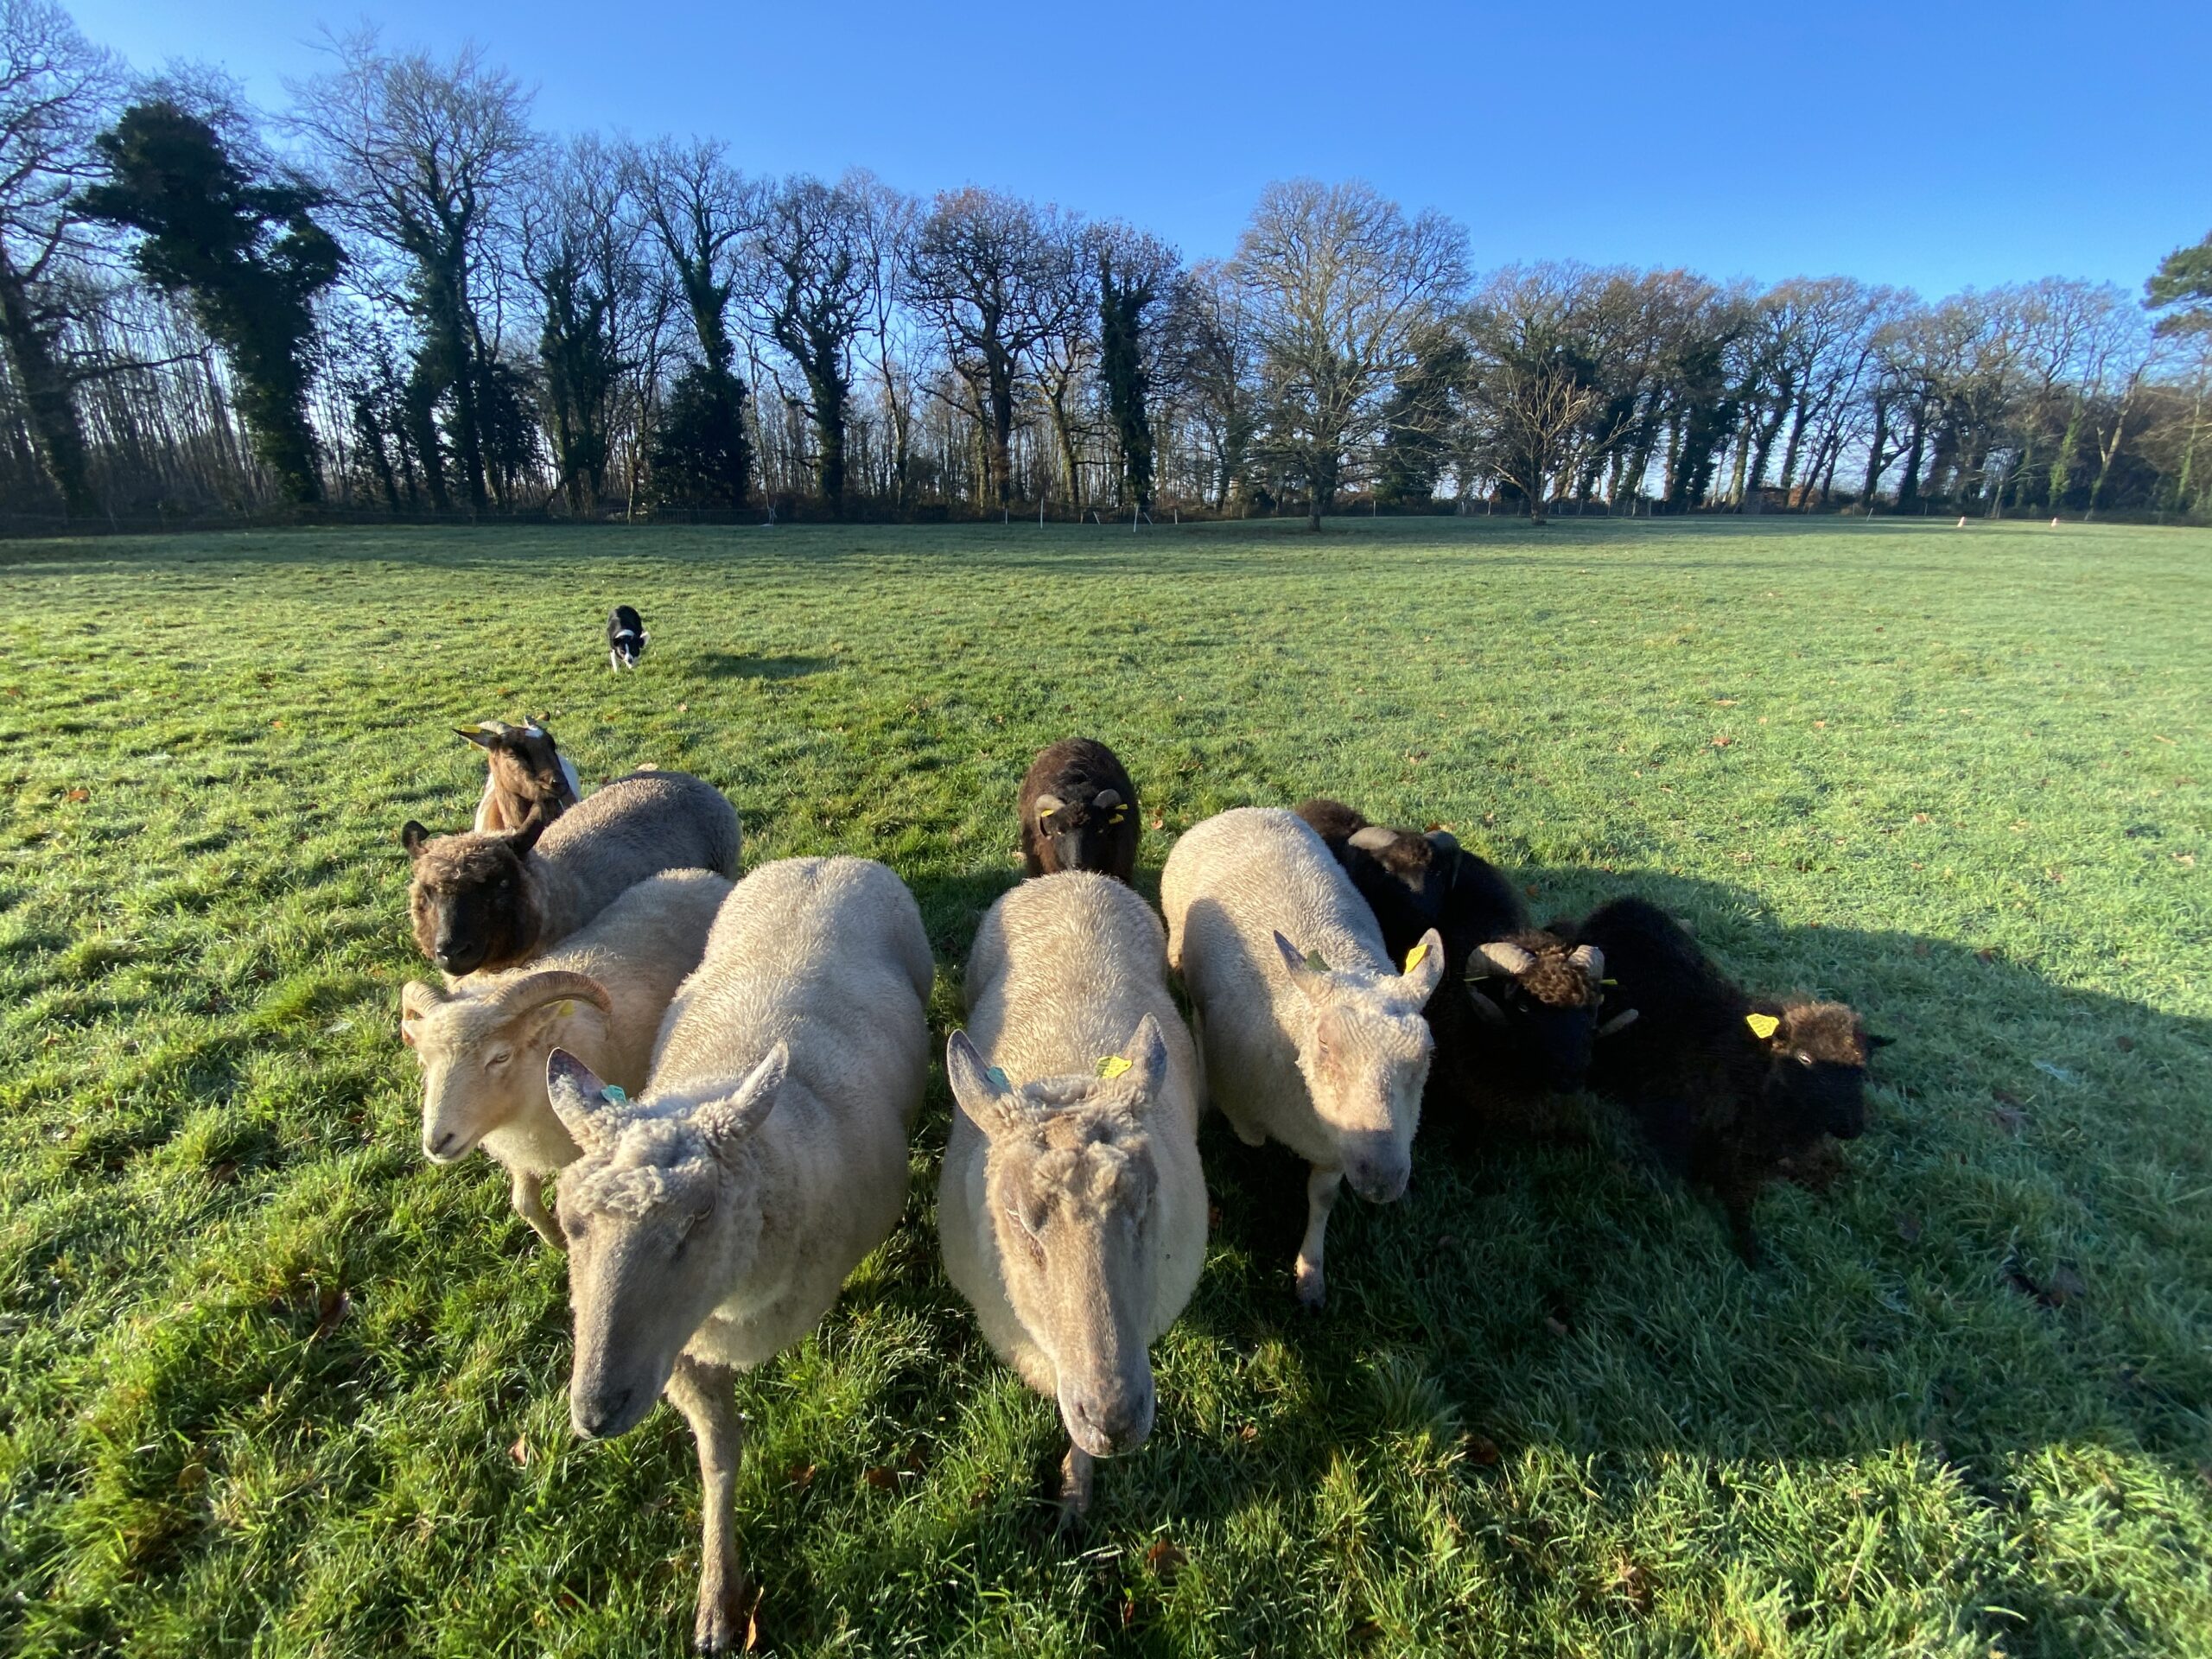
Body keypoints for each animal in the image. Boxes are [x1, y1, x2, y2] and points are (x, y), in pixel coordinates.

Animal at [399, 868, 730, 1245]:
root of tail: (696, 874)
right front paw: (555, 1243)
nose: (437, 1142)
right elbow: (525, 1204)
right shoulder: (526, 1145)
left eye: (500, 1057)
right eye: (425, 1061)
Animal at [544, 856, 932, 1653]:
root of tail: (824, 859)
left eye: (697, 1218)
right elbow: (718, 1459)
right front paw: (718, 1598)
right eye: (568, 1224)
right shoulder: (681, 1357)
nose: (595, 1412)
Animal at [940, 872, 1206, 1519]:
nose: (1114, 1419)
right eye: (1016, 1217)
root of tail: (1071, 877)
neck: (1067, 1069)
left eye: (1146, 1201)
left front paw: (1076, 1485)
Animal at [1160, 807, 1443, 1308]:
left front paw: (1310, 1273)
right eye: (1325, 1044)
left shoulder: (1337, 1148)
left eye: (1427, 1053)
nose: (1384, 1181)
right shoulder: (1249, 1107)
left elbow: (1322, 1198)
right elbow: (1251, 1140)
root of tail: (1243, 810)